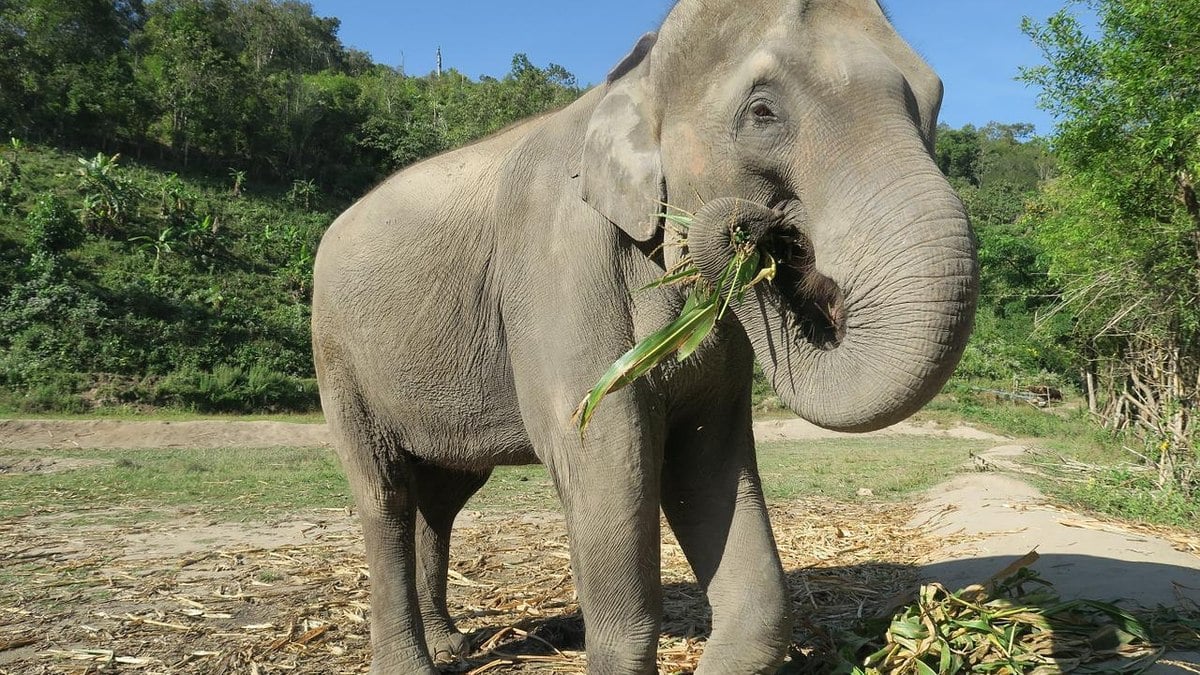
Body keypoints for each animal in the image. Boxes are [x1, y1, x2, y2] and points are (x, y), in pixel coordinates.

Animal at [309, 2, 974, 667]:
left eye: (936, 99)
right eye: (762, 111)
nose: (751, 232)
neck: (638, 73)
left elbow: (705, 463)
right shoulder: (559, 265)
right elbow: (602, 452)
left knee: (443, 494)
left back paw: (450, 646)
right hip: (336, 354)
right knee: (386, 496)